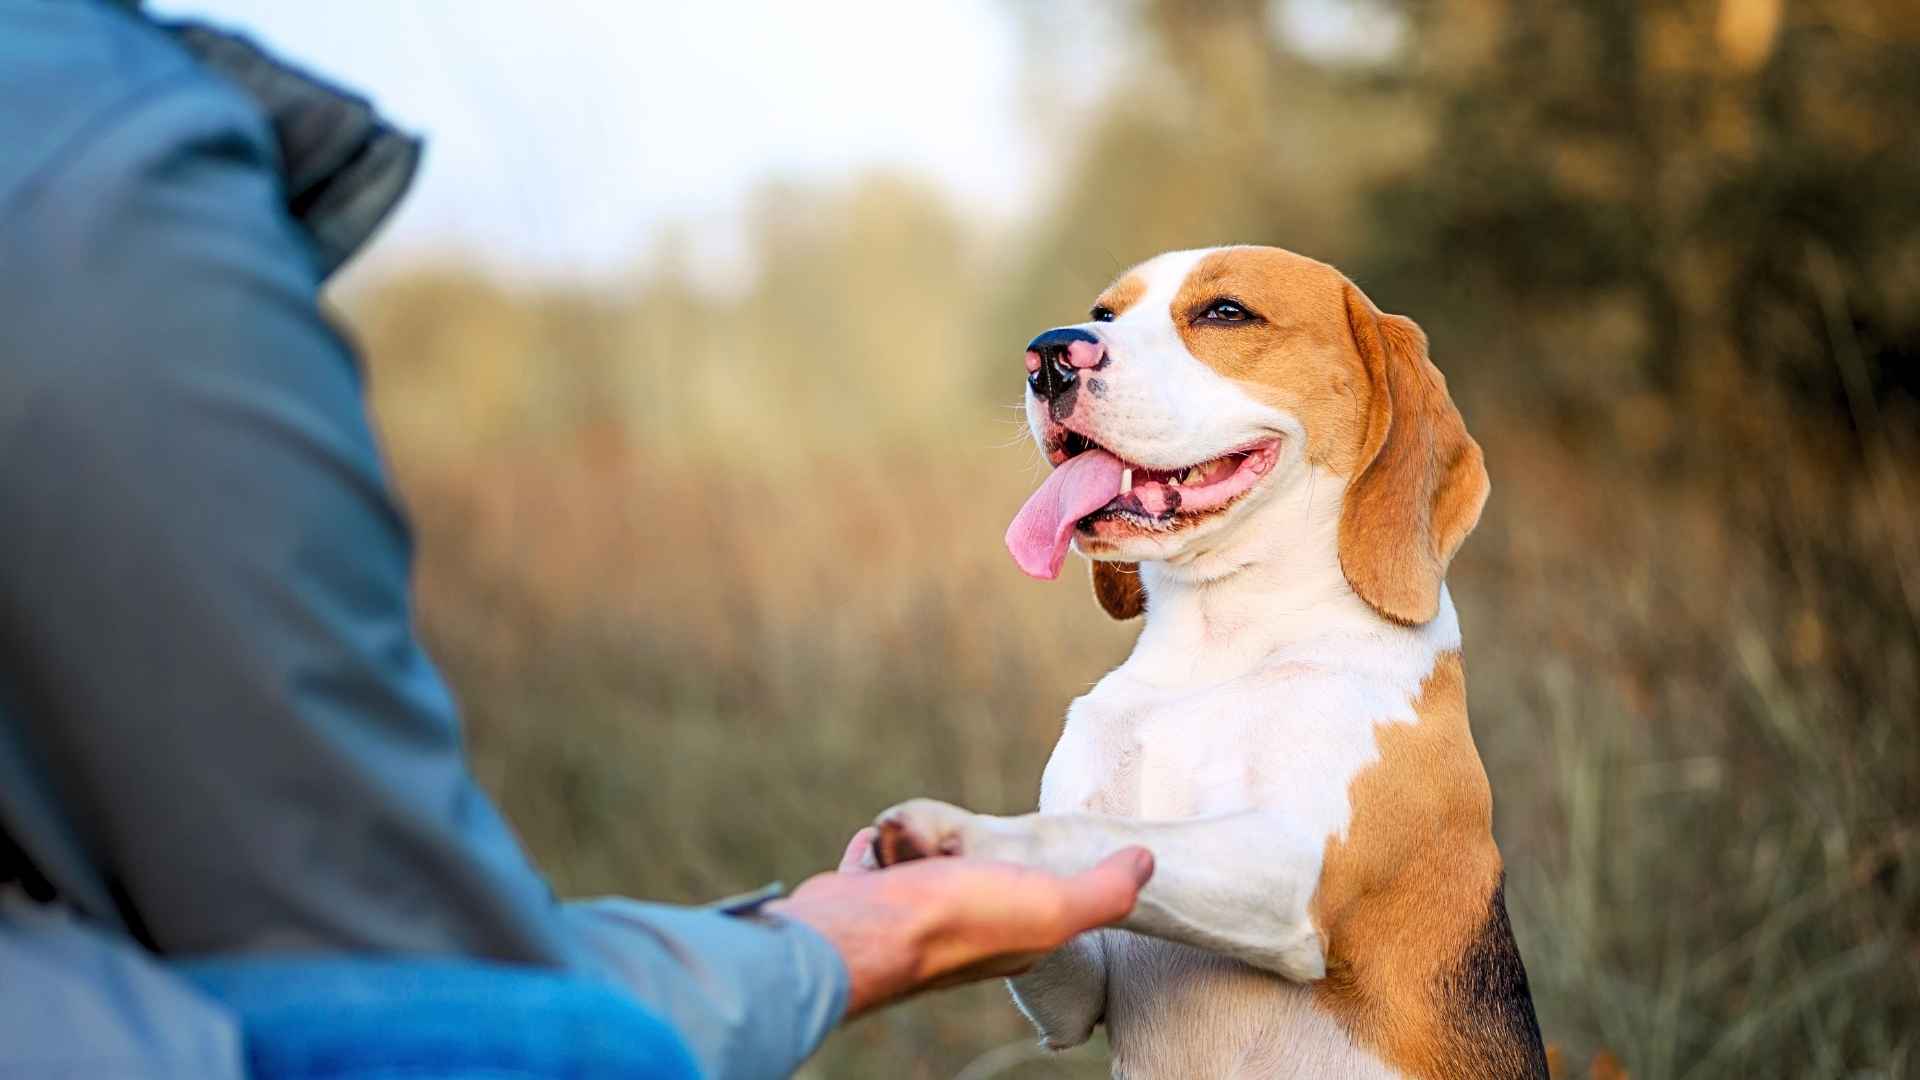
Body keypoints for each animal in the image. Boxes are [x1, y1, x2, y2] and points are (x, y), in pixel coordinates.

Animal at [871, 245, 1543, 1076]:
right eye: (1103, 314)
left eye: (1226, 313)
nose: (1049, 355)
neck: (1218, 645)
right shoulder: (1079, 992)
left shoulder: (1287, 869)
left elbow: (1091, 834)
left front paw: (962, 837)